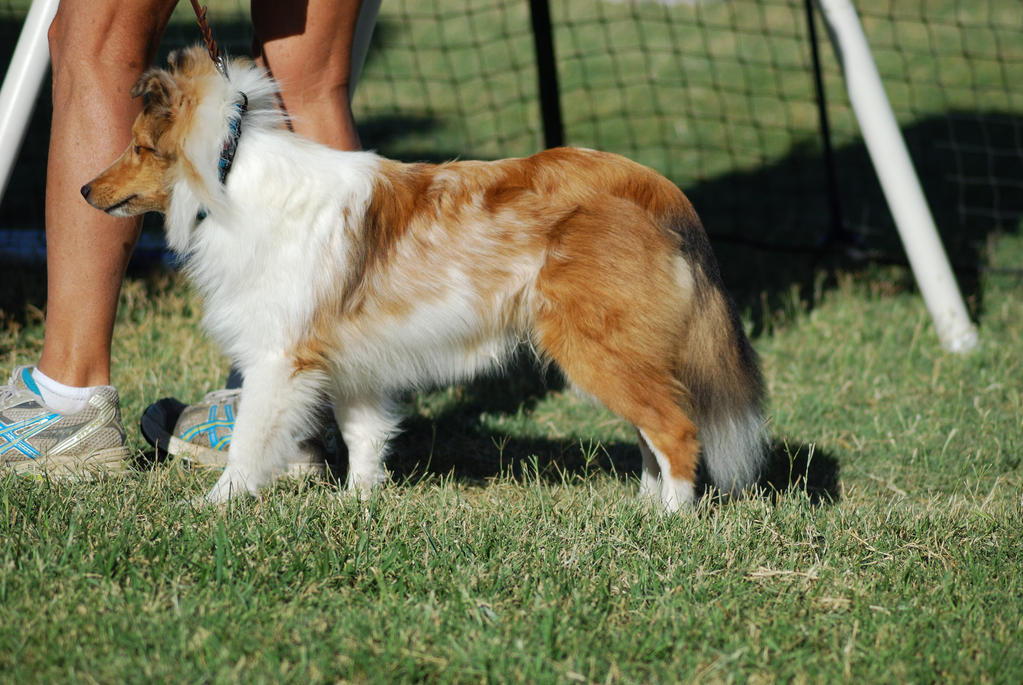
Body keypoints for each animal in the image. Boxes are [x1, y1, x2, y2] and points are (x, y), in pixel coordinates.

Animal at [81, 47, 769, 509]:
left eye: (140, 147)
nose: (85, 190)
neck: (230, 178)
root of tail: (651, 186)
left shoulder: (279, 360)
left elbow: (250, 443)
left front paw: (216, 506)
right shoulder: (353, 362)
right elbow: (363, 436)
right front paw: (358, 503)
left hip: (597, 349)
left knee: (677, 430)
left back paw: (669, 520)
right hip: (623, 354)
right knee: (654, 431)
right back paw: (645, 506)